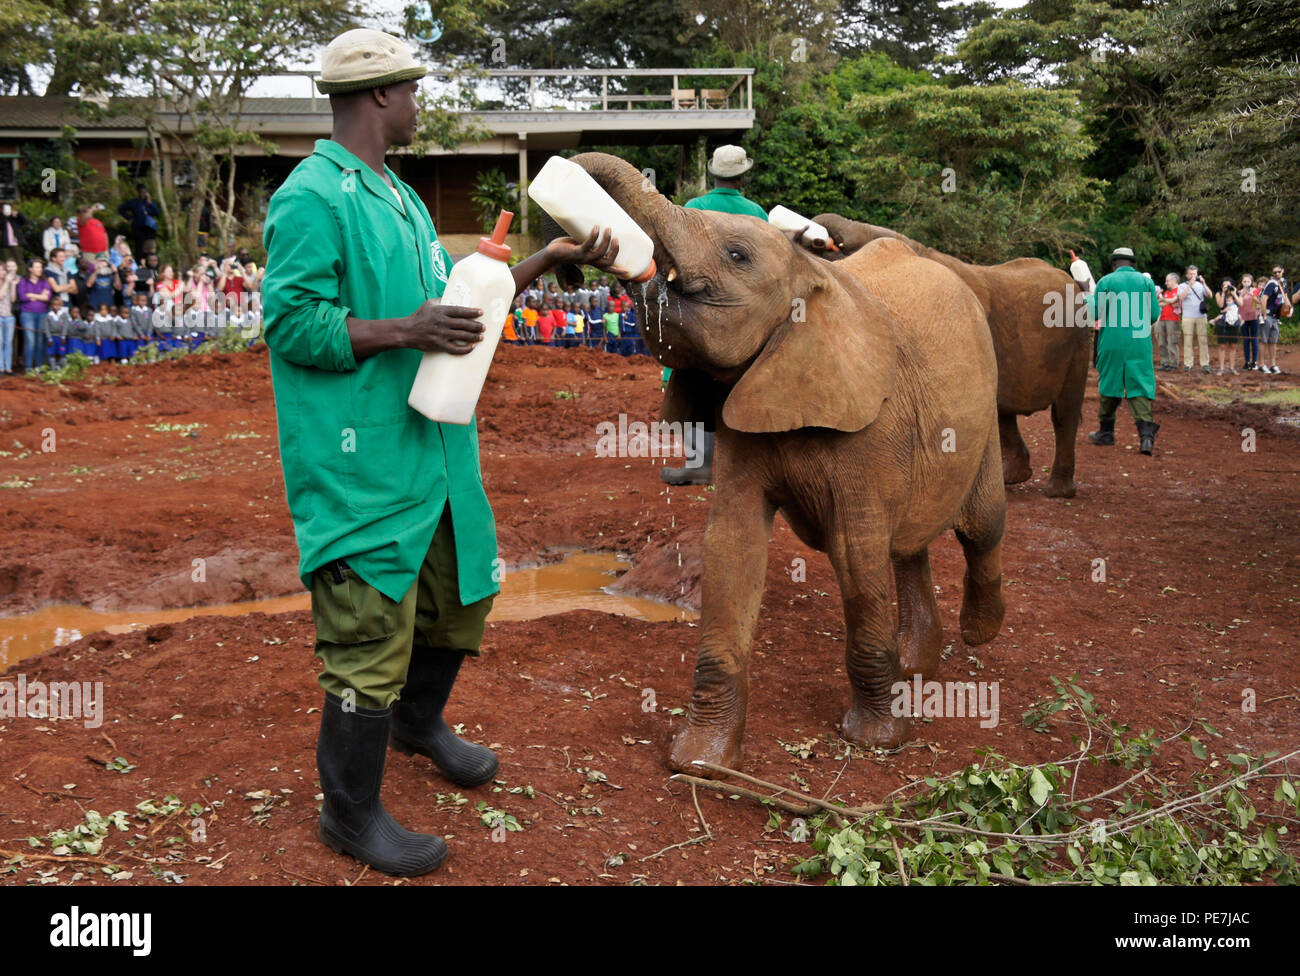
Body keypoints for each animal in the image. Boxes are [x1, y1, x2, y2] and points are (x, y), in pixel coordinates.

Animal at [545, 153, 1007, 774]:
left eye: (738, 255)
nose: (578, 264)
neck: (814, 277)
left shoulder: (869, 427)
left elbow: (856, 554)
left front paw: (876, 742)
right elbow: (732, 547)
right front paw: (701, 762)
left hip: (984, 412)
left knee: (977, 526)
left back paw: (978, 633)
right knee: (909, 544)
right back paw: (915, 669)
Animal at [810, 214, 1090, 498]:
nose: (824, 240)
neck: (922, 251)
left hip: (1079, 341)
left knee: (1064, 413)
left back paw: (1057, 491)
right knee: (1005, 413)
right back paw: (1013, 478)